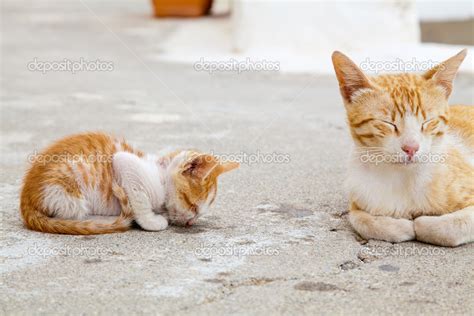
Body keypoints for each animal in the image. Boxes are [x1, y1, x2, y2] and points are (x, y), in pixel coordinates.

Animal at [20, 132, 239, 233]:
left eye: (200, 213)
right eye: (192, 205)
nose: (191, 222)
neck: (160, 172)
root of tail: (25, 200)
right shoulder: (124, 161)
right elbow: (139, 199)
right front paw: (152, 220)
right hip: (68, 191)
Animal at [334, 48, 474, 247]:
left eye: (428, 122)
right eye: (388, 123)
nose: (411, 148)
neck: (403, 178)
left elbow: (448, 227)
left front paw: (421, 224)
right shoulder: (356, 202)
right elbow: (362, 220)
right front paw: (401, 227)